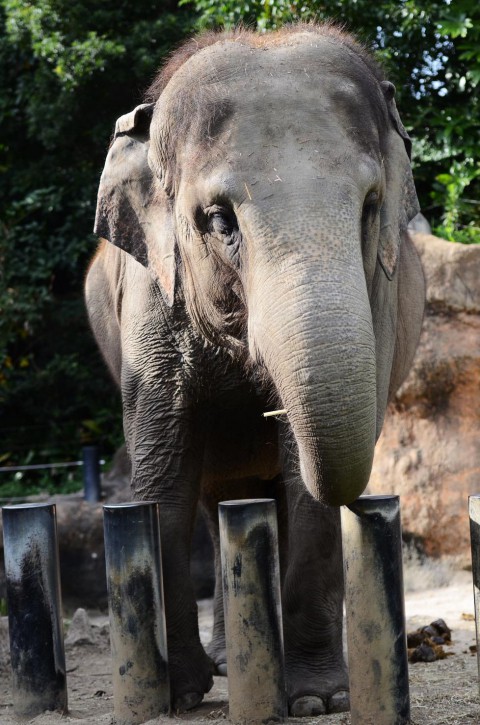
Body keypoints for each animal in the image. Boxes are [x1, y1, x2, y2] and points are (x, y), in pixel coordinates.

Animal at [85, 24, 424, 720]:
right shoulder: (152, 300)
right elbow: (164, 474)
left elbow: (303, 481)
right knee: (219, 505)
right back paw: (221, 663)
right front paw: (178, 695)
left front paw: (319, 699)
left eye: (370, 206)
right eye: (219, 220)